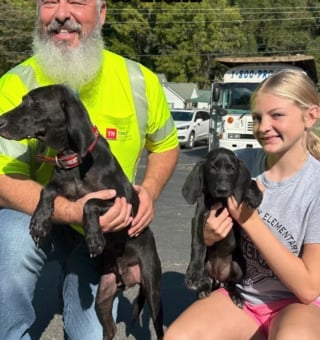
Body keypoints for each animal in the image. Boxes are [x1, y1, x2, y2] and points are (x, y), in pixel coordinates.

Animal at [0, 84, 164, 340]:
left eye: (35, 104)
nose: (0, 122)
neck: (75, 159)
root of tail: (127, 279)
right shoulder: (63, 190)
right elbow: (46, 190)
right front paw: (39, 222)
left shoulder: (120, 203)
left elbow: (90, 203)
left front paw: (94, 238)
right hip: (104, 295)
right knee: (109, 328)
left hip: (153, 289)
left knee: (158, 327)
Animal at [181, 147, 262, 306]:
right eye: (213, 168)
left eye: (231, 169)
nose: (223, 190)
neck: (220, 200)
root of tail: (219, 278)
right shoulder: (199, 217)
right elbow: (198, 243)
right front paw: (194, 273)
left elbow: (249, 181)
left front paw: (254, 194)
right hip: (208, 269)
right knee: (207, 280)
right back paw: (203, 289)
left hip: (238, 265)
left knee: (231, 283)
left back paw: (236, 295)